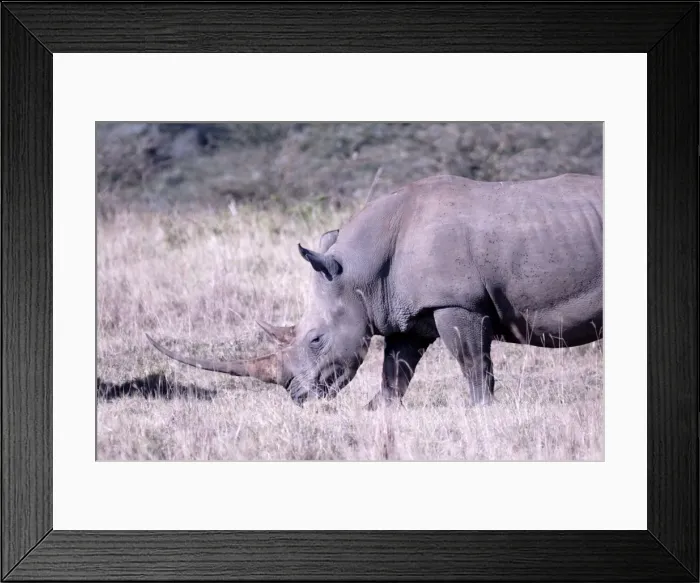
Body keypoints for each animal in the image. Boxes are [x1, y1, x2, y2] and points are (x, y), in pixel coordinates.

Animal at [147, 173, 602, 409]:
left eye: (315, 340)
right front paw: (378, 412)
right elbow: (395, 371)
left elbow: (473, 362)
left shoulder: (457, 303)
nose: (296, 395)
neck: (359, 270)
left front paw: (481, 411)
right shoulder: (405, 313)